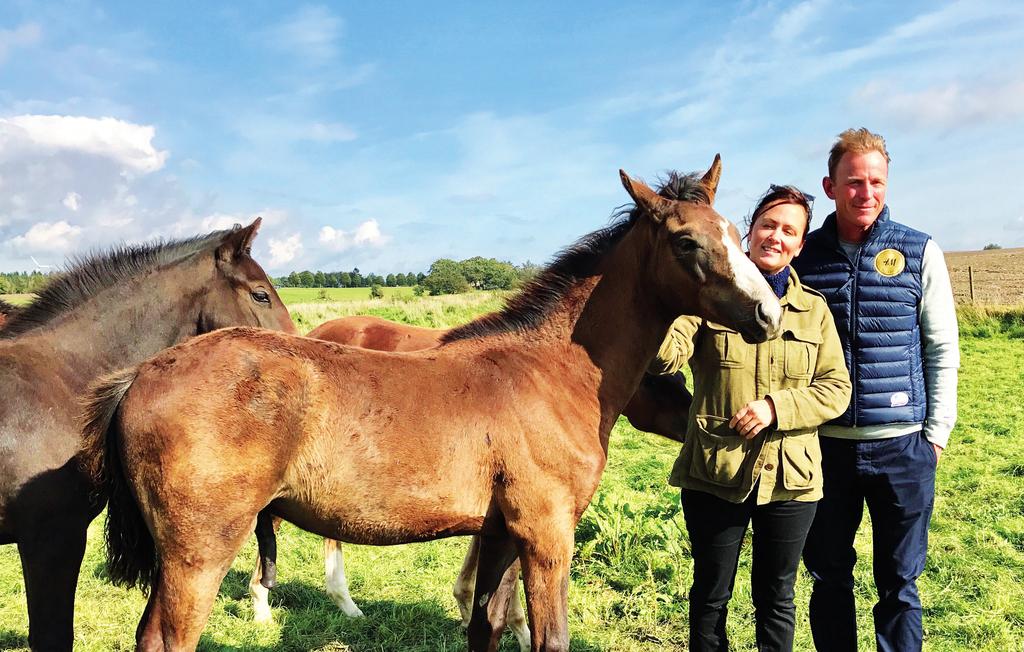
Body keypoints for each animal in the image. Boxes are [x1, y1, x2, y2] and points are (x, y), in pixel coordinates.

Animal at [81, 158, 782, 650]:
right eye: (687, 242)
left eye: (735, 233)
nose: (767, 313)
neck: (551, 371)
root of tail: (140, 374)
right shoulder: (547, 533)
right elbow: (548, 637)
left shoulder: (499, 534)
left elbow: (487, 625)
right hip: (198, 549)